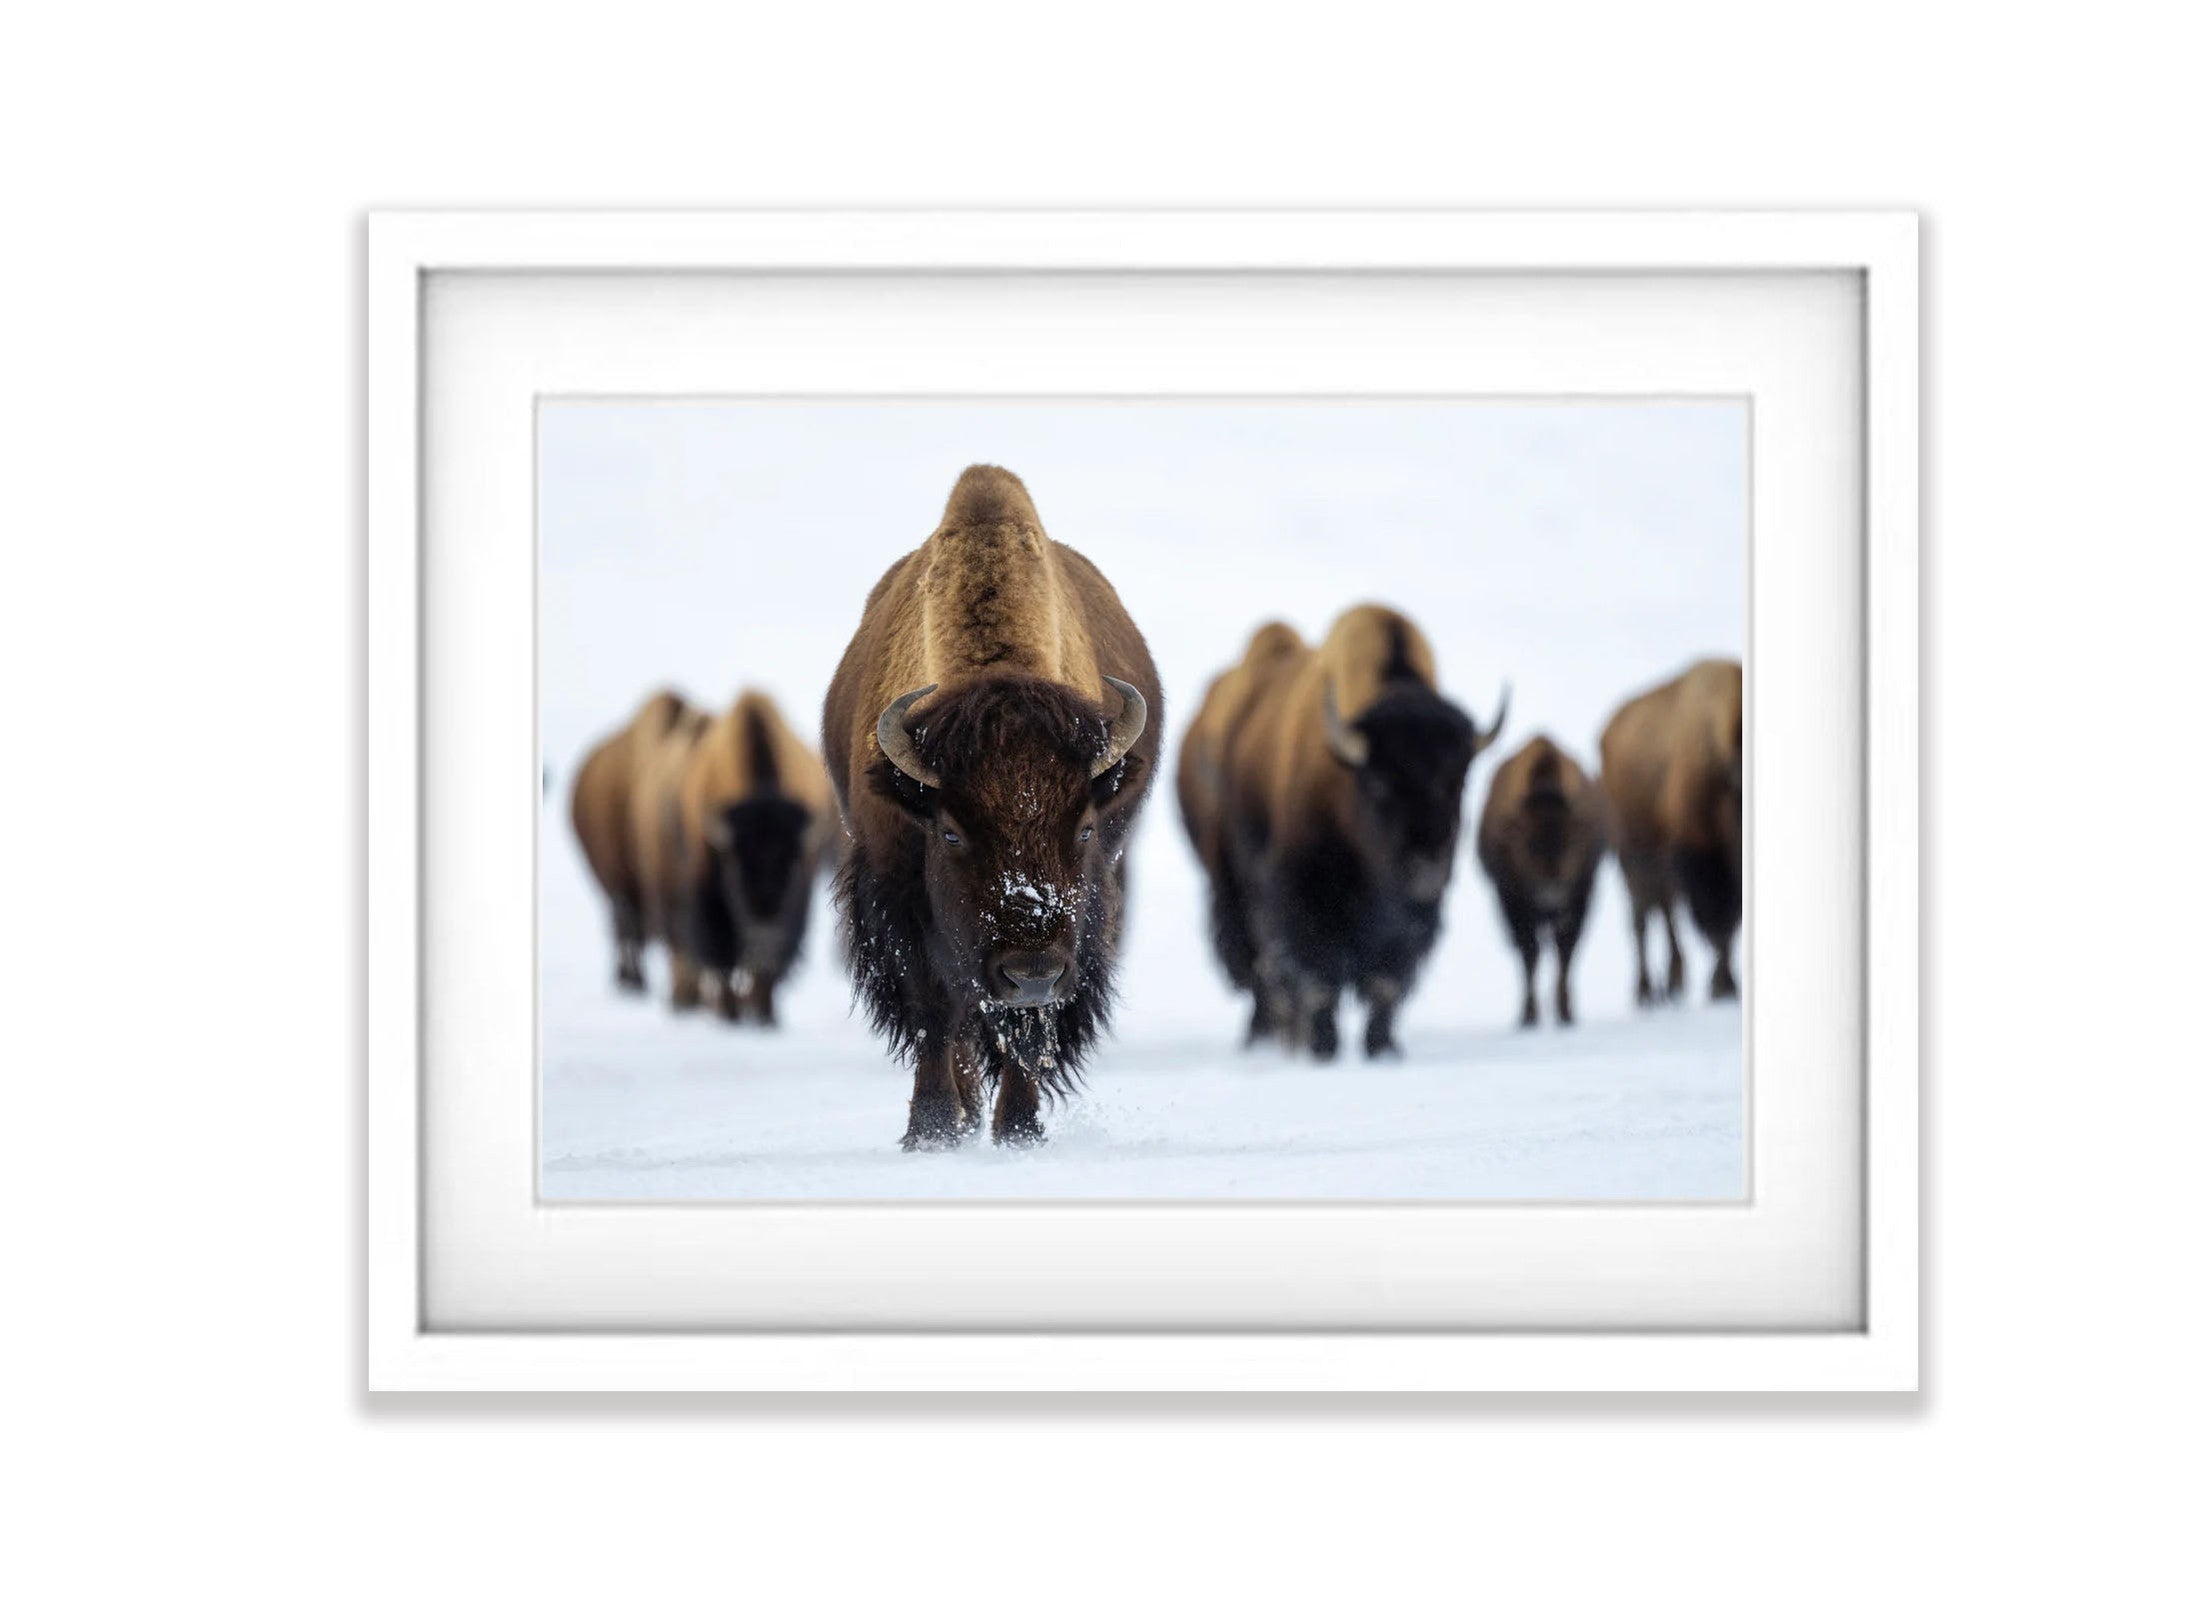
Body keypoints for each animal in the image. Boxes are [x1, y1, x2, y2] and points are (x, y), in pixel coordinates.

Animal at [822, 464, 1164, 1149]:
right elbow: (933, 1013)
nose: (1030, 971)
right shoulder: (896, 899)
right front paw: (929, 1132)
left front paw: (1019, 1132)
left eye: (1084, 829)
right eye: (951, 833)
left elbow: (1028, 1032)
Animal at [1182, 606, 1506, 1060]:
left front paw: (1382, 1048)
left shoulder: (1412, 920)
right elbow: (1319, 978)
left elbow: (1386, 983)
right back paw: (1269, 1035)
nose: (1427, 865)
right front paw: (1325, 1047)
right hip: (1235, 885)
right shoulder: (1303, 896)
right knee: (1260, 965)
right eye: (1380, 784)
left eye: (1459, 782)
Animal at [1474, 735, 1606, 1027]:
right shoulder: (1511, 901)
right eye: (1528, 844)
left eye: (1571, 843)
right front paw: (1528, 1016)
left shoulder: (1580, 897)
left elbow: (1565, 952)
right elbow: (1530, 953)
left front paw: (1566, 1014)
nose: (1551, 896)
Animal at [1598, 658, 1743, 1004]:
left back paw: (1671, 983)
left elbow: (1727, 923)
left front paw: (1725, 984)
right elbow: (1717, 922)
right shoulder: (1697, 855)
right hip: (1631, 860)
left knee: (1663, 914)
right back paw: (1646, 991)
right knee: (1642, 920)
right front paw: (1722, 986)